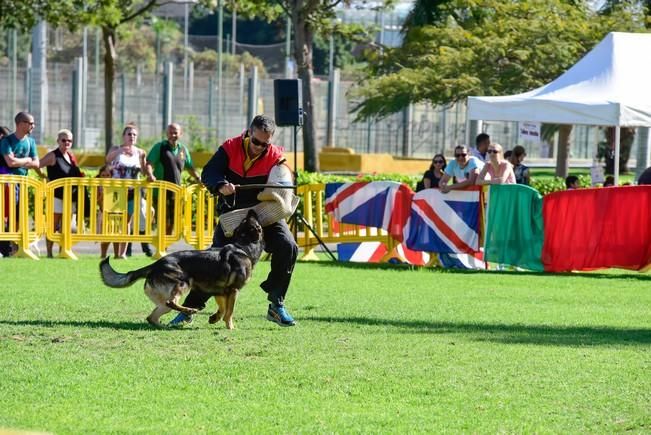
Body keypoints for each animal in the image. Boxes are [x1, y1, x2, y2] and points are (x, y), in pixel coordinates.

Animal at [99, 209, 262, 328]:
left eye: (244, 220)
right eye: (251, 220)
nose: (252, 210)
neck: (243, 245)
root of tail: (155, 265)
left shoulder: (220, 292)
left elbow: (222, 309)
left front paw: (214, 319)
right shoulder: (234, 290)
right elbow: (229, 312)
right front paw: (230, 327)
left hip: (164, 302)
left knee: (152, 317)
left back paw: (164, 326)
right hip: (183, 283)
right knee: (171, 302)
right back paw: (189, 310)